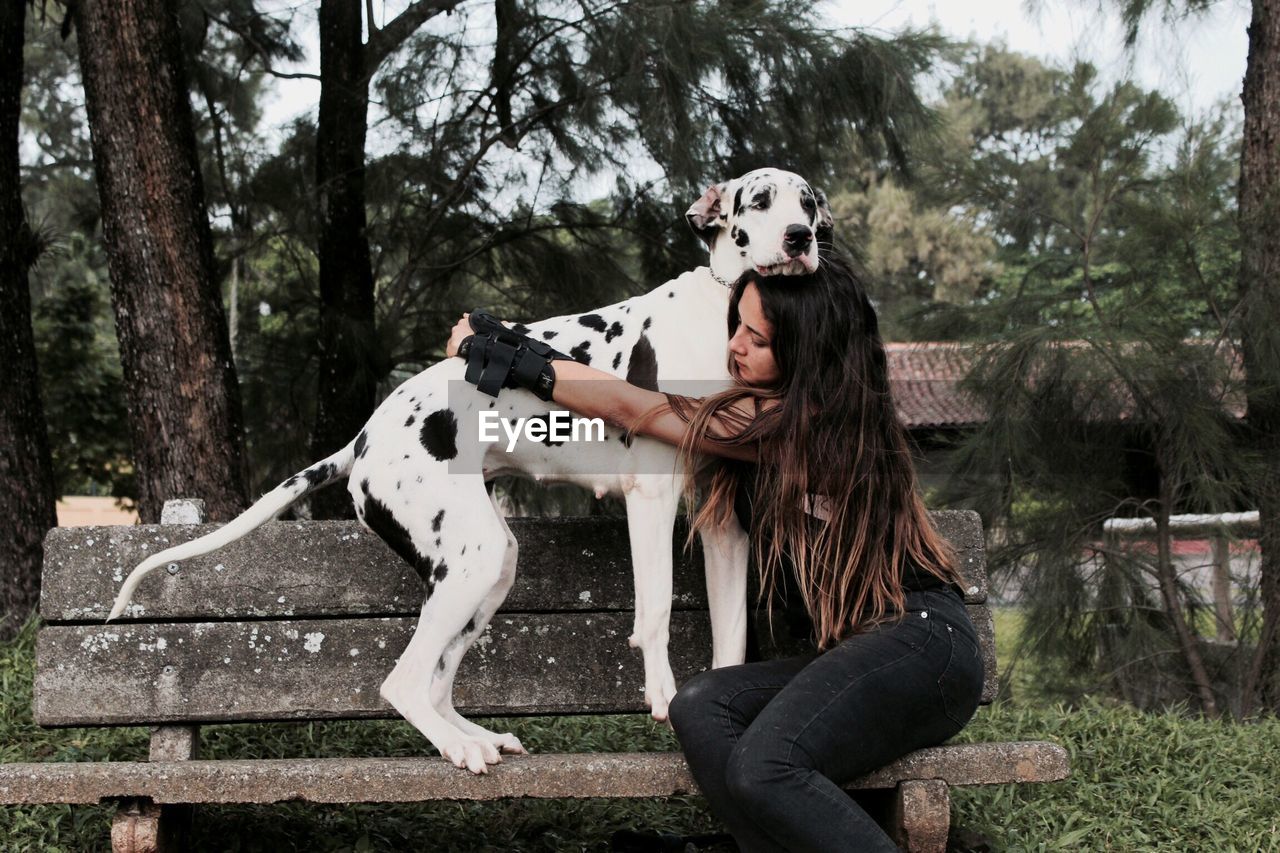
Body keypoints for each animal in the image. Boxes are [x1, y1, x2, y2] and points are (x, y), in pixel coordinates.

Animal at [107, 166, 829, 768]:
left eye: (809, 202)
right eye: (759, 200)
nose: (800, 237)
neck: (721, 315)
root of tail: (361, 439)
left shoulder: (725, 528)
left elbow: (732, 636)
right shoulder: (649, 498)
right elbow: (652, 612)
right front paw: (660, 694)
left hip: (492, 564)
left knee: (436, 682)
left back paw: (470, 736)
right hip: (473, 558)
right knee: (404, 681)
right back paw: (458, 748)